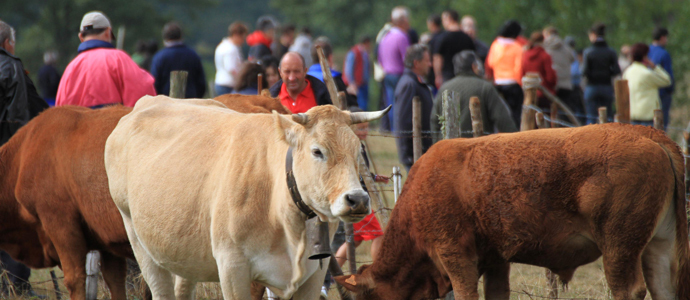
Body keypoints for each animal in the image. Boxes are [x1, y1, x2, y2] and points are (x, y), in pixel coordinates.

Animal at [105, 96, 390, 300]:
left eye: (357, 150)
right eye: (317, 151)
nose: (357, 199)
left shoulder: (313, 276)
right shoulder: (233, 268)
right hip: (137, 238)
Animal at [334, 123, 688, 300]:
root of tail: (647, 134)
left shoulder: (455, 255)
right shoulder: (496, 260)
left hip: (619, 249)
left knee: (629, 290)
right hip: (656, 247)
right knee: (663, 288)